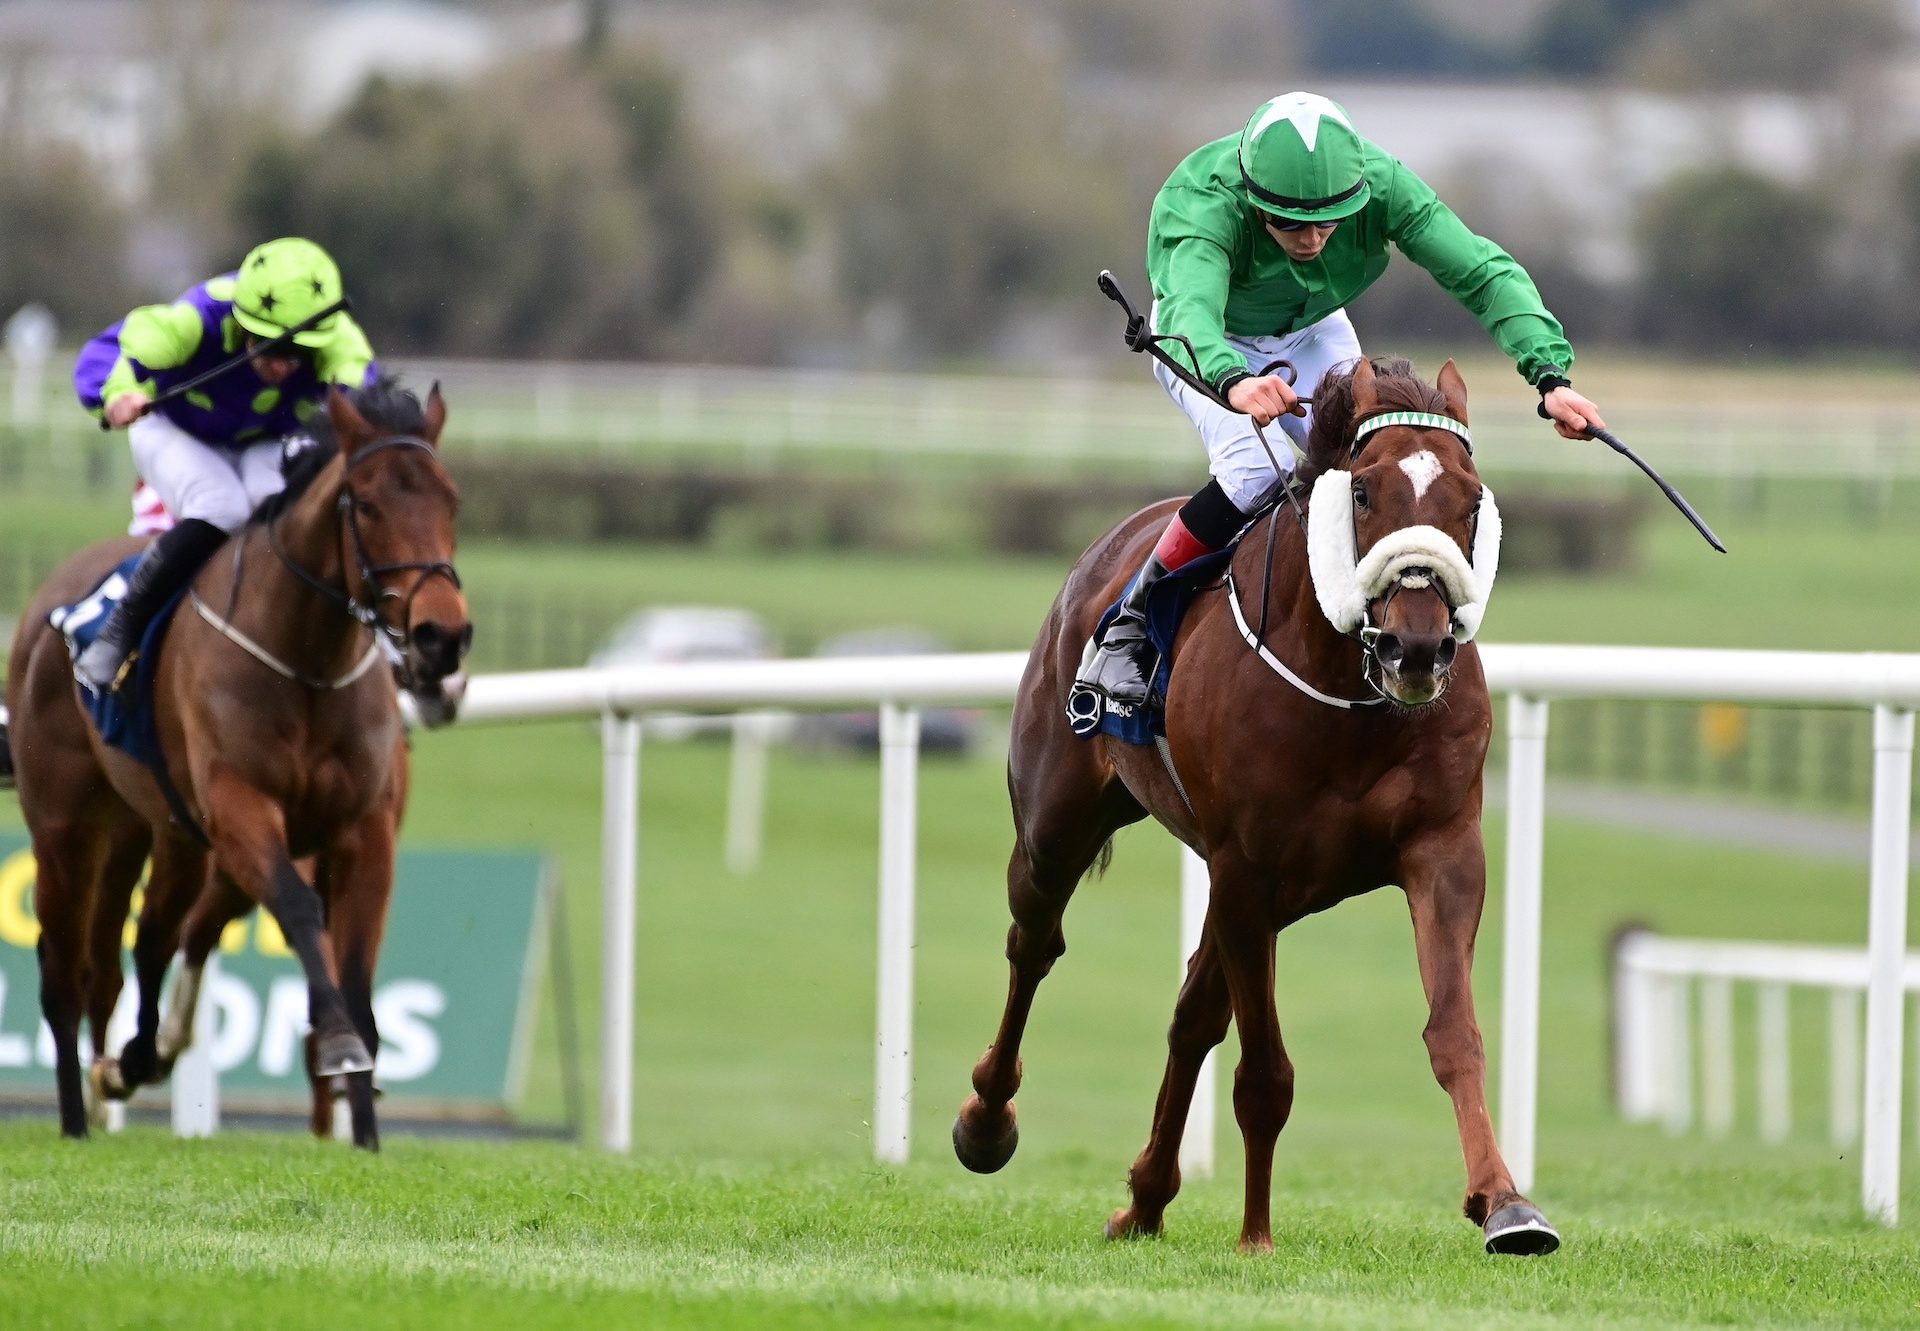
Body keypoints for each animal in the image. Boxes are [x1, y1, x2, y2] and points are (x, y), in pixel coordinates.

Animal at [6, 378, 468, 1144]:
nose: (443, 636)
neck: (307, 662)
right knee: (66, 969)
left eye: (451, 498)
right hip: (66, 827)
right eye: (366, 503)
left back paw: (132, 1062)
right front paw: (339, 1045)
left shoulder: (363, 831)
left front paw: (367, 1127)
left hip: (155, 832)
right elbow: (299, 909)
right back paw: (77, 1115)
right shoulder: (241, 809)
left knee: (147, 940)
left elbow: (355, 966)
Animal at [948, 359, 1559, 1252]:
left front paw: (1507, 1203)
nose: (1416, 648)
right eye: (1363, 493)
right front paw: (1256, 1234)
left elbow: (1454, 1033)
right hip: (1056, 822)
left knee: (1191, 1014)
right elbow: (1265, 1072)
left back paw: (1146, 1198)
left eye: (1471, 501)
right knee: (1035, 943)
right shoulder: (1245, 868)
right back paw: (988, 1120)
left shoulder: (1442, 847)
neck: (1348, 693)